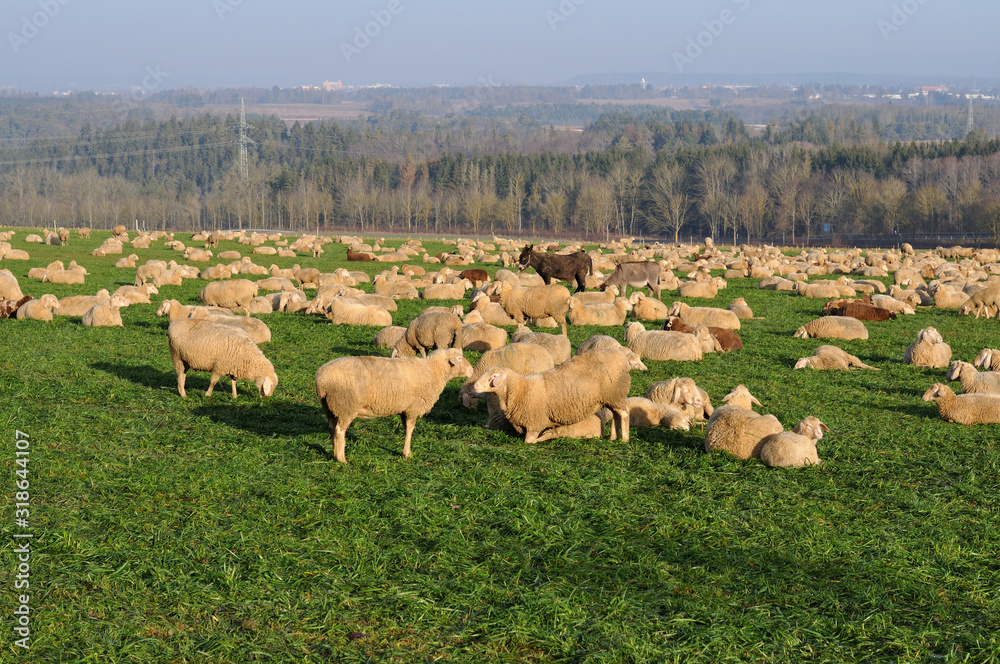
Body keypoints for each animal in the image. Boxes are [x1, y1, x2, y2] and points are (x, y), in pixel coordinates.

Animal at [316, 348, 473, 462]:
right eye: (459, 359)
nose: (472, 370)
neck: (433, 371)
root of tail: (321, 380)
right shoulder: (412, 408)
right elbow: (410, 430)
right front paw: (407, 453)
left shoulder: (404, 409)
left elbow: (405, 429)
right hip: (346, 406)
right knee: (339, 431)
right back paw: (341, 458)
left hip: (330, 408)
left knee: (332, 428)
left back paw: (334, 454)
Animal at [471, 347, 631, 443]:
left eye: (493, 377)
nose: (475, 386)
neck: (520, 389)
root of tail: (621, 355)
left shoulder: (534, 422)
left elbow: (529, 441)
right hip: (612, 397)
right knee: (616, 414)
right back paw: (613, 438)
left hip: (615, 392)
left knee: (624, 413)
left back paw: (624, 439)